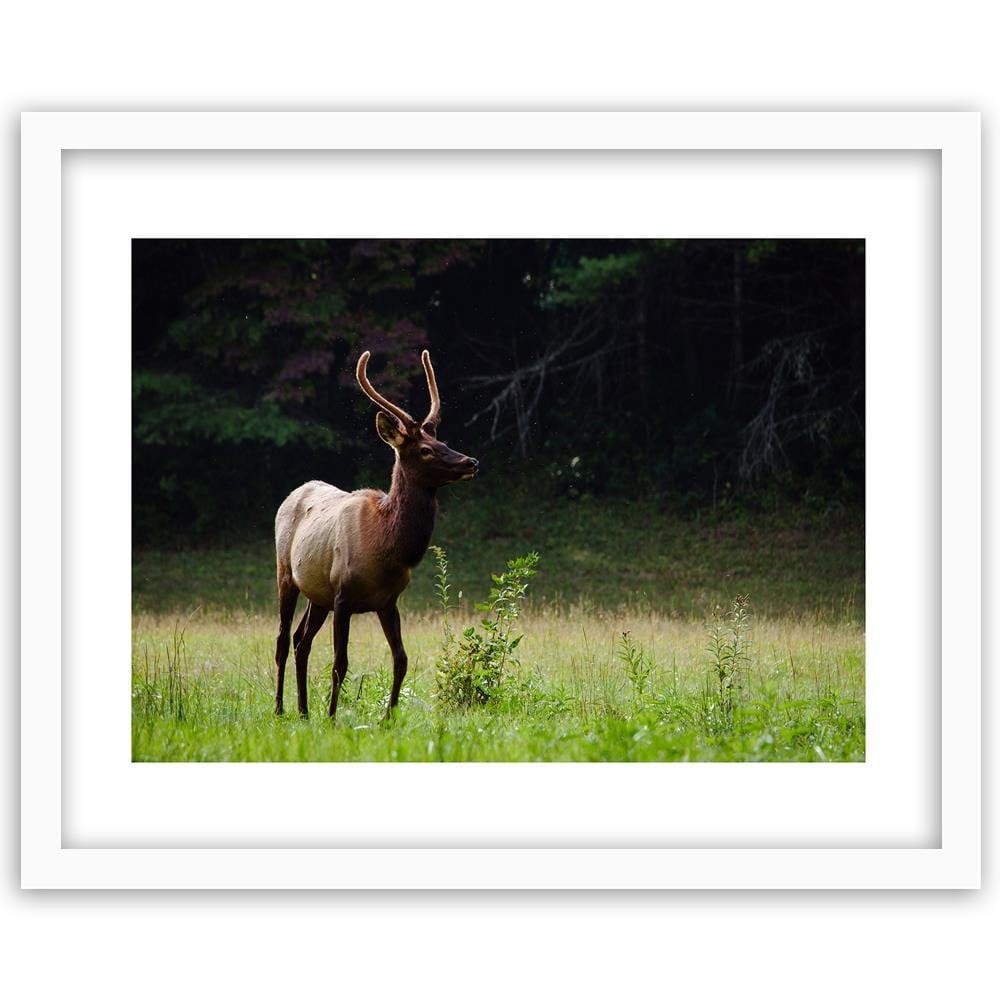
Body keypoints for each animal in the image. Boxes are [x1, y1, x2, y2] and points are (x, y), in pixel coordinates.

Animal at [273, 349, 479, 719]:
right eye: (425, 450)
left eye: (442, 441)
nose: (471, 462)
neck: (386, 548)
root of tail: (292, 493)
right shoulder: (342, 595)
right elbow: (340, 663)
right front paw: (332, 716)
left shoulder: (388, 601)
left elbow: (402, 659)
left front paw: (389, 716)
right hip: (286, 573)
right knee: (283, 639)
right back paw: (282, 708)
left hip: (317, 594)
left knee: (301, 640)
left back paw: (304, 710)